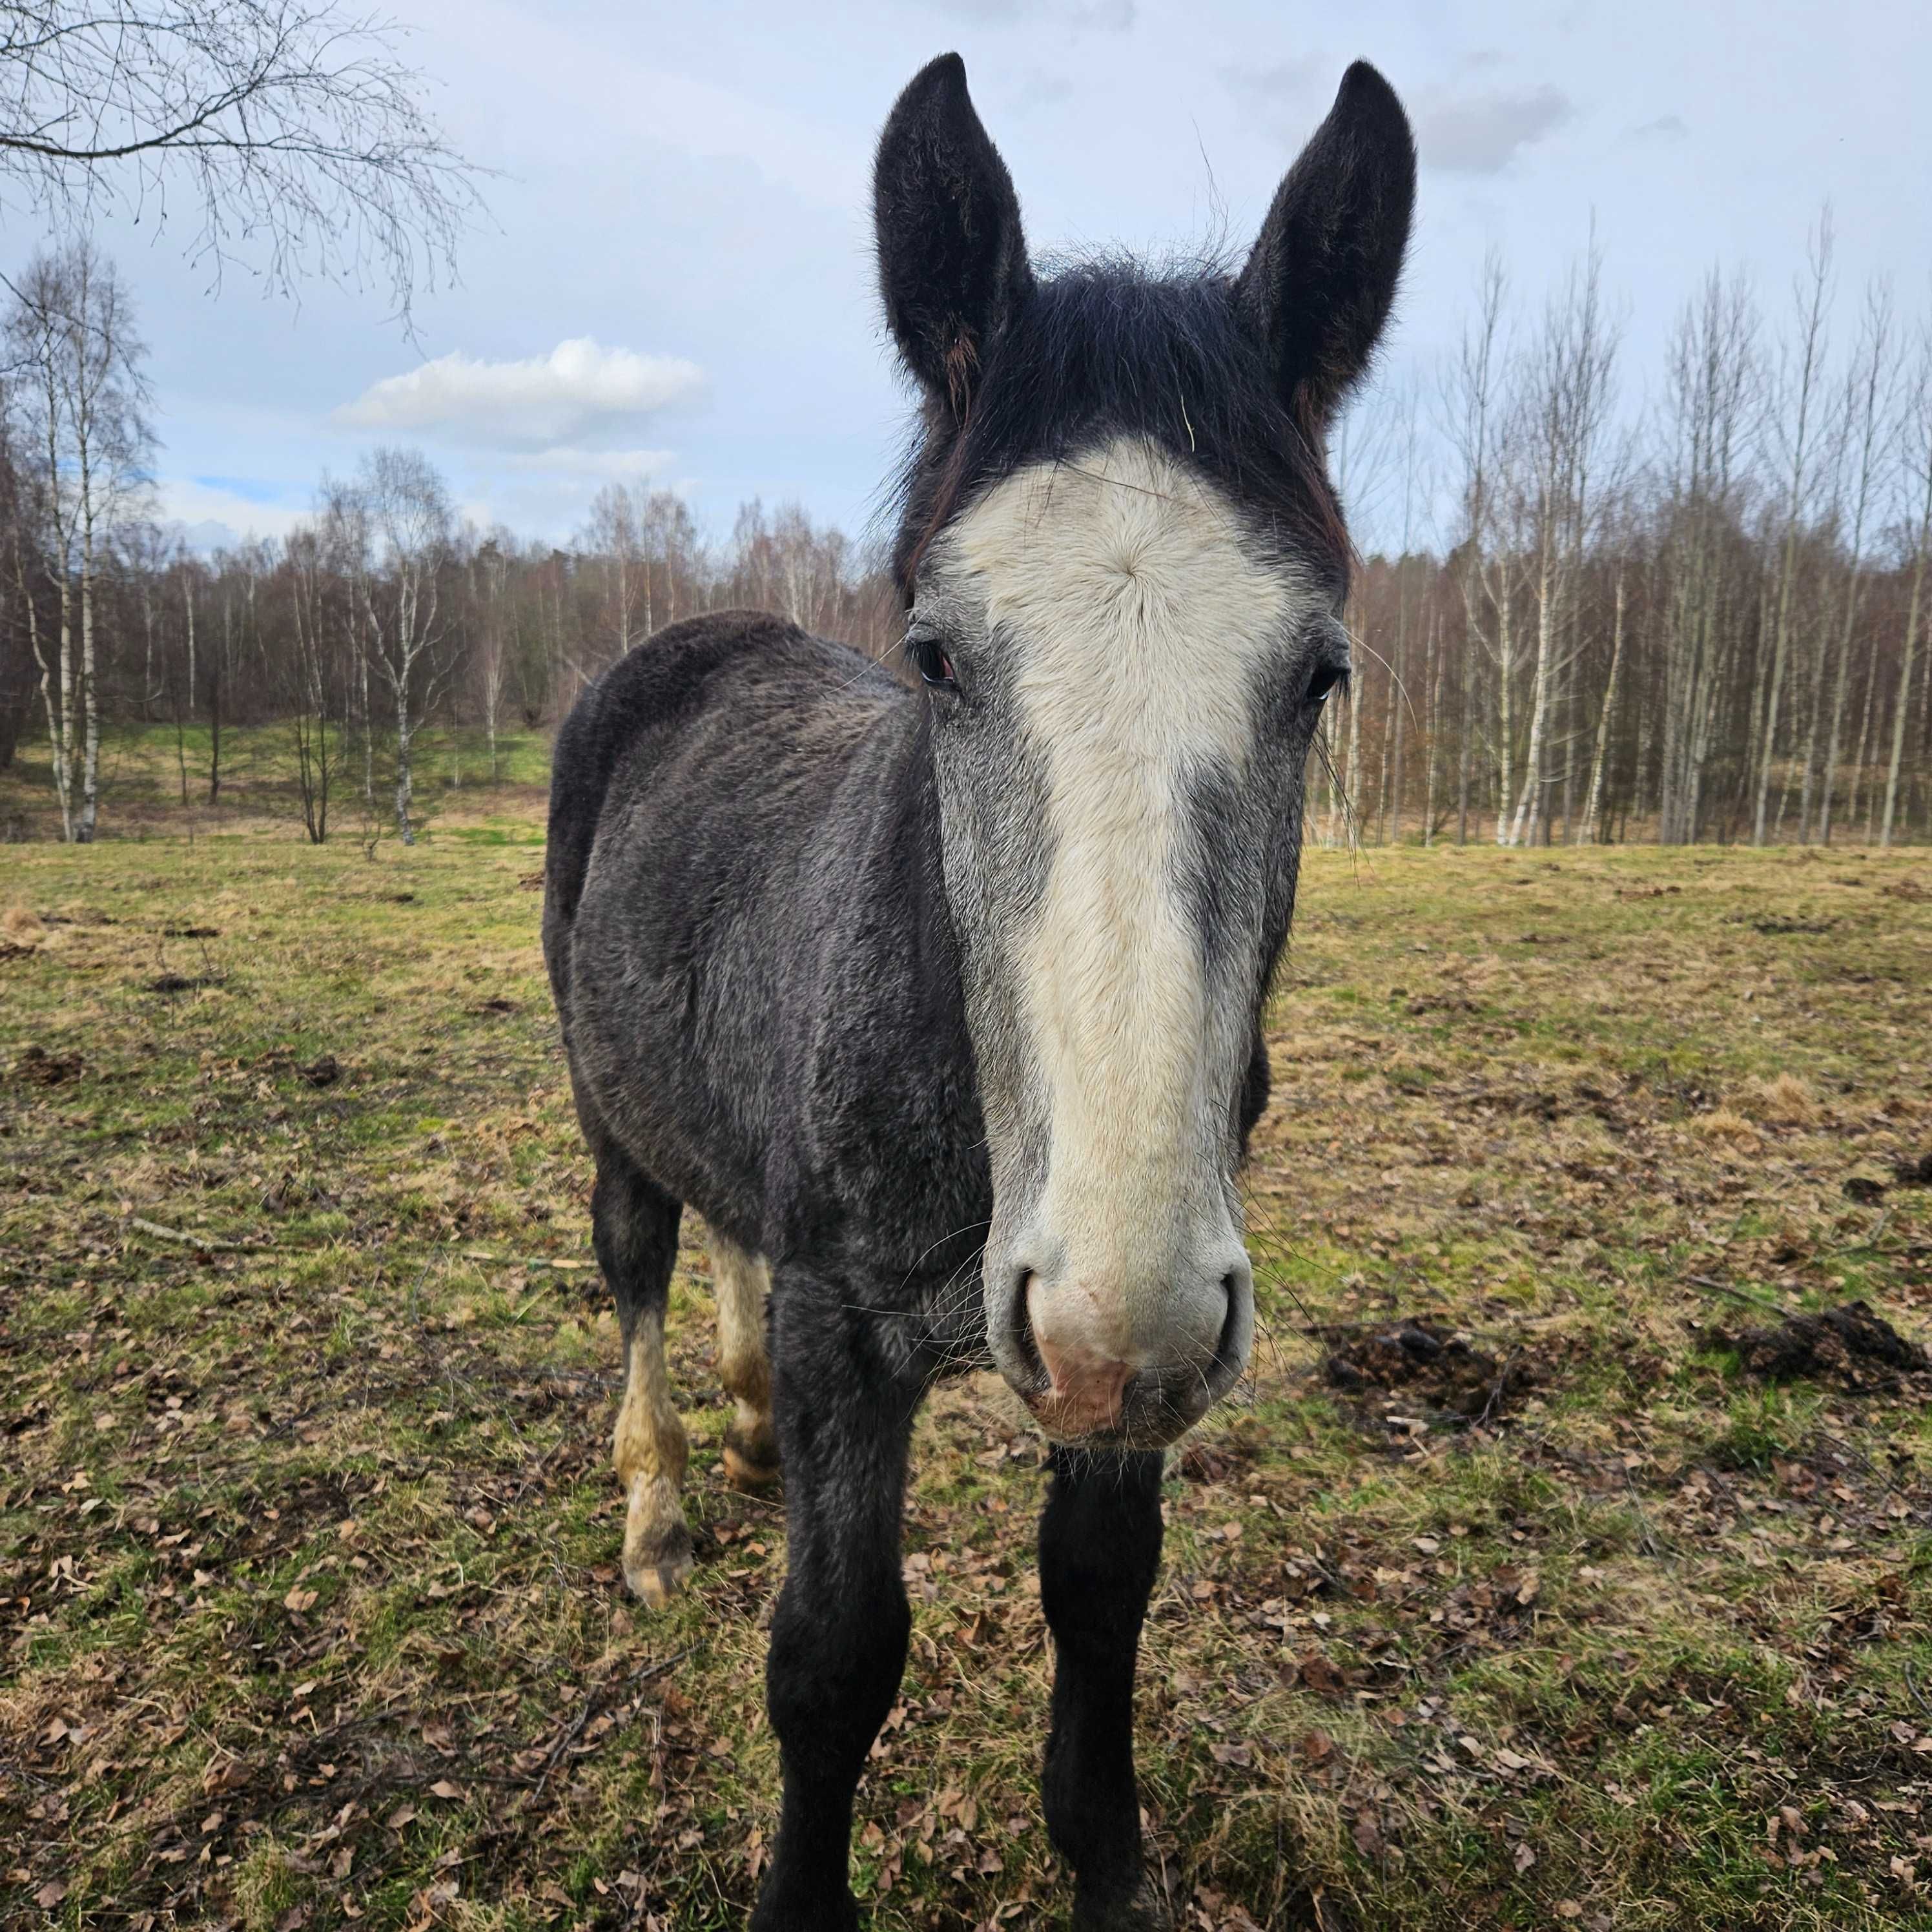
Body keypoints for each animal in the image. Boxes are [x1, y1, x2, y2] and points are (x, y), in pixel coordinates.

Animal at [544, 52, 1422, 1924]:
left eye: (1319, 675)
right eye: (937, 655)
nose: (1104, 1313)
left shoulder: (1141, 1346)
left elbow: (1099, 1595)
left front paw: (1106, 1857)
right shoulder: (852, 1339)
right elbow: (831, 1659)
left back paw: (741, 1444)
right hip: (608, 1108)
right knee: (642, 1260)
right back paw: (660, 1514)